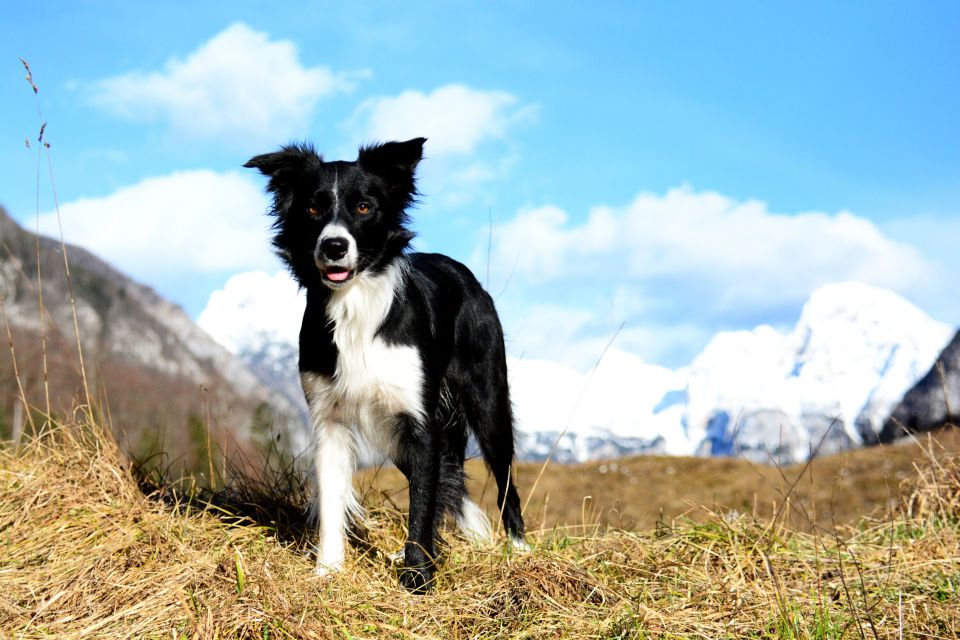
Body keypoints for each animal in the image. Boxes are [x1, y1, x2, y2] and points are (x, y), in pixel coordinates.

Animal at [240, 138, 524, 592]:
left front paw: (418, 578)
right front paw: (328, 571)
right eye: (313, 208)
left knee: (504, 481)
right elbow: (333, 499)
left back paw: (518, 550)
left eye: (363, 207)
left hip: (488, 400)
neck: (353, 305)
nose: (333, 246)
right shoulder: (330, 420)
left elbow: (421, 505)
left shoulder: (420, 422)